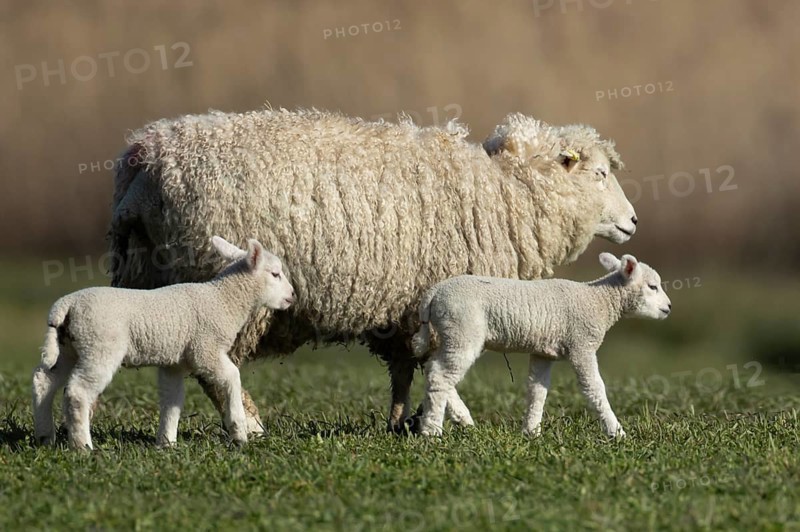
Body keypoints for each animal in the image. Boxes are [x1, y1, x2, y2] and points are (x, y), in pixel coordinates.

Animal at [32, 236, 295, 450]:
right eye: (275, 274)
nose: (292, 296)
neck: (223, 300)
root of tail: (65, 306)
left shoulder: (175, 363)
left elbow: (172, 401)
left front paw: (166, 443)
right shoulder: (205, 349)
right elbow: (232, 376)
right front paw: (239, 432)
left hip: (68, 348)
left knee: (44, 381)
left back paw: (45, 437)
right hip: (99, 346)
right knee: (77, 393)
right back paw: (82, 446)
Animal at [108, 108, 638, 434]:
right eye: (599, 175)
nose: (633, 221)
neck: (507, 192)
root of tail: (144, 158)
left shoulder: (405, 307)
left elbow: (406, 366)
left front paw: (402, 420)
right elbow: (433, 365)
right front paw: (445, 420)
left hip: (155, 276)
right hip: (225, 283)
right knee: (219, 368)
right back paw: (251, 425)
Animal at [411, 252, 671, 438]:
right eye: (652, 287)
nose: (669, 308)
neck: (599, 302)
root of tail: (432, 294)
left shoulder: (544, 352)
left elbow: (538, 390)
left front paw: (531, 432)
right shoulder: (581, 344)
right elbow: (595, 389)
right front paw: (616, 432)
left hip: (451, 334)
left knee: (434, 368)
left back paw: (463, 419)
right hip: (463, 330)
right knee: (440, 376)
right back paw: (432, 432)